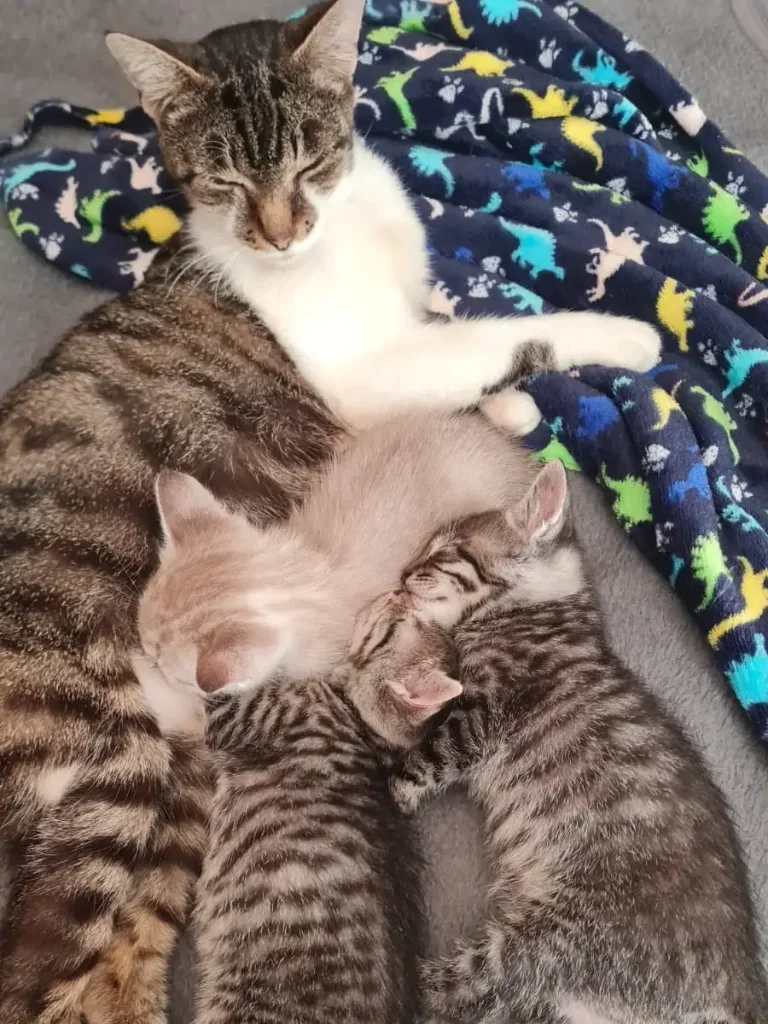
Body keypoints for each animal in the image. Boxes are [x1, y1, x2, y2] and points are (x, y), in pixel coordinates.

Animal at [106, 0, 662, 436]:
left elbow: (448, 332)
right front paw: (624, 336)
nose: (280, 237)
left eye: (309, 164)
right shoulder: (360, 376)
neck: (345, 215)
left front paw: (505, 403)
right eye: (226, 183)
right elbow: (503, 338)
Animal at [135, 589, 462, 1024]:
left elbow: (202, 691)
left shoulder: (242, 715)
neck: (356, 720)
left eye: (395, 627)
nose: (397, 593)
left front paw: (141, 662)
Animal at [391, 459, 768, 1024]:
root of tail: (741, 986)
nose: (402, 575)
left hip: (556, 941)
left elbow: (422, 763)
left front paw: (387, 790)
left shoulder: (480, 716)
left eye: (444, 551)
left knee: (457, 987)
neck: (544, 603)